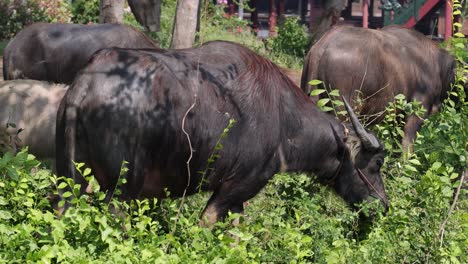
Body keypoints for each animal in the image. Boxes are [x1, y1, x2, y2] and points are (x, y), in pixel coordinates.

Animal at [54, 41, 390, 225]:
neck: (284, 120)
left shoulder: (237, 197)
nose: (384, 205)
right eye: (376, 164)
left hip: (67, 177)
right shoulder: (236, 187)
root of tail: (86, 82)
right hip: (123, 187)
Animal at [302, 25, 456, 152]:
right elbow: (407, 146)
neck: (437, 66)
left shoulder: (397, 117)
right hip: (343, 109)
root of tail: (322, 46)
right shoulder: (417, 111)